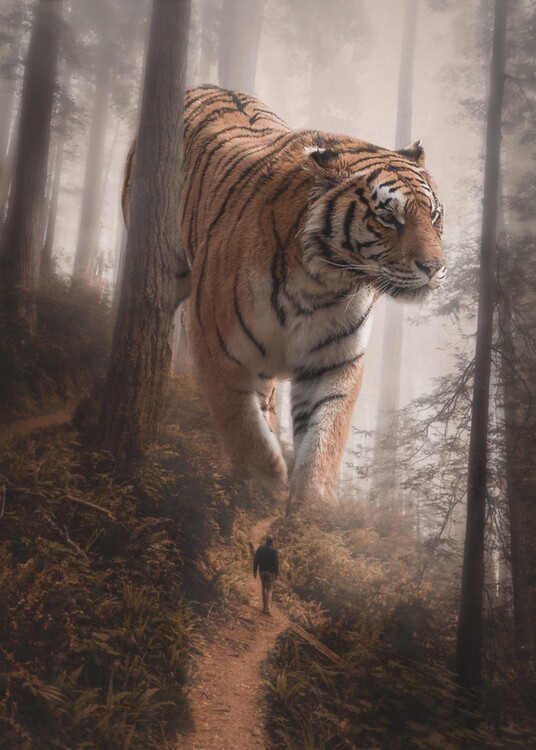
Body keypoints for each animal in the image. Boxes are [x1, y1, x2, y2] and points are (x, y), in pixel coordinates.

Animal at [123, 84, 446, 510]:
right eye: (388, 217)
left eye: (435, 216)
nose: (435, 267)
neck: (324, 283)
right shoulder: (214, 342)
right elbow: (243, 427)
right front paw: (261, 494)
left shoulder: (335, 360)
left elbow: (325, 438)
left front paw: (312, 510)